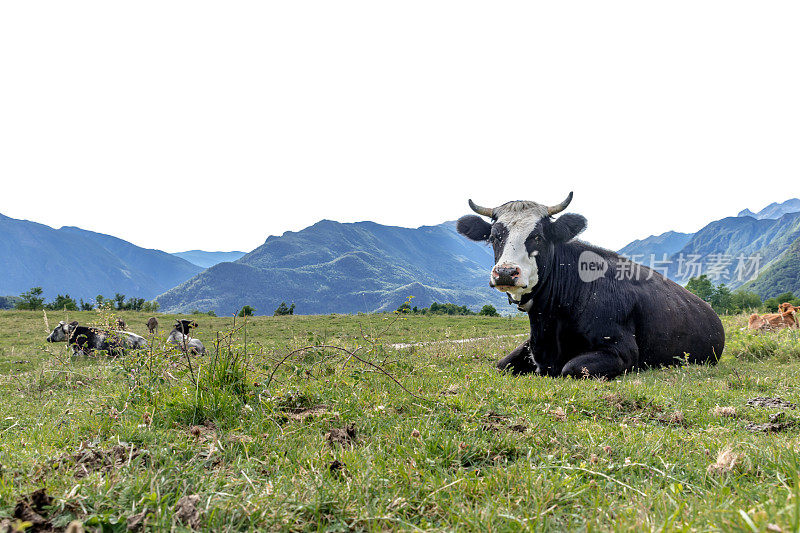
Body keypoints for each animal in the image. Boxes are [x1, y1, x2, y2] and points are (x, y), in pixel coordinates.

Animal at [456, 192, 724, 378]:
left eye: (538, 236)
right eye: (494, 237)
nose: (505, 272)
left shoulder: (621, 351)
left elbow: (571, 368)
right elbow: (502, 364)